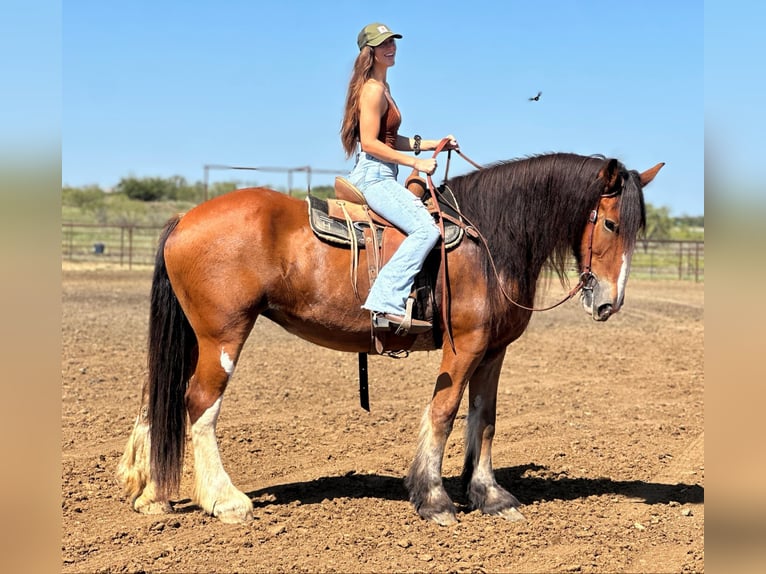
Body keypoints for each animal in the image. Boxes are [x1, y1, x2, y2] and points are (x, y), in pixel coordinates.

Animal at [117, 152, 663, 526]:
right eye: (611, 222)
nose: (609, 303)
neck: (488, 240)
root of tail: (184, 220)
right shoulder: (463, 347)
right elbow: (444, 413)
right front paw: (434, 498)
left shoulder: (493, 351)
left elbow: (484, 420)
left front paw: (490, 496)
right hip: (224, 334)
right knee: (199, 402)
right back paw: (225, 500)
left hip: (194, 336)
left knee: (157, 395)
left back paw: (151, 495)